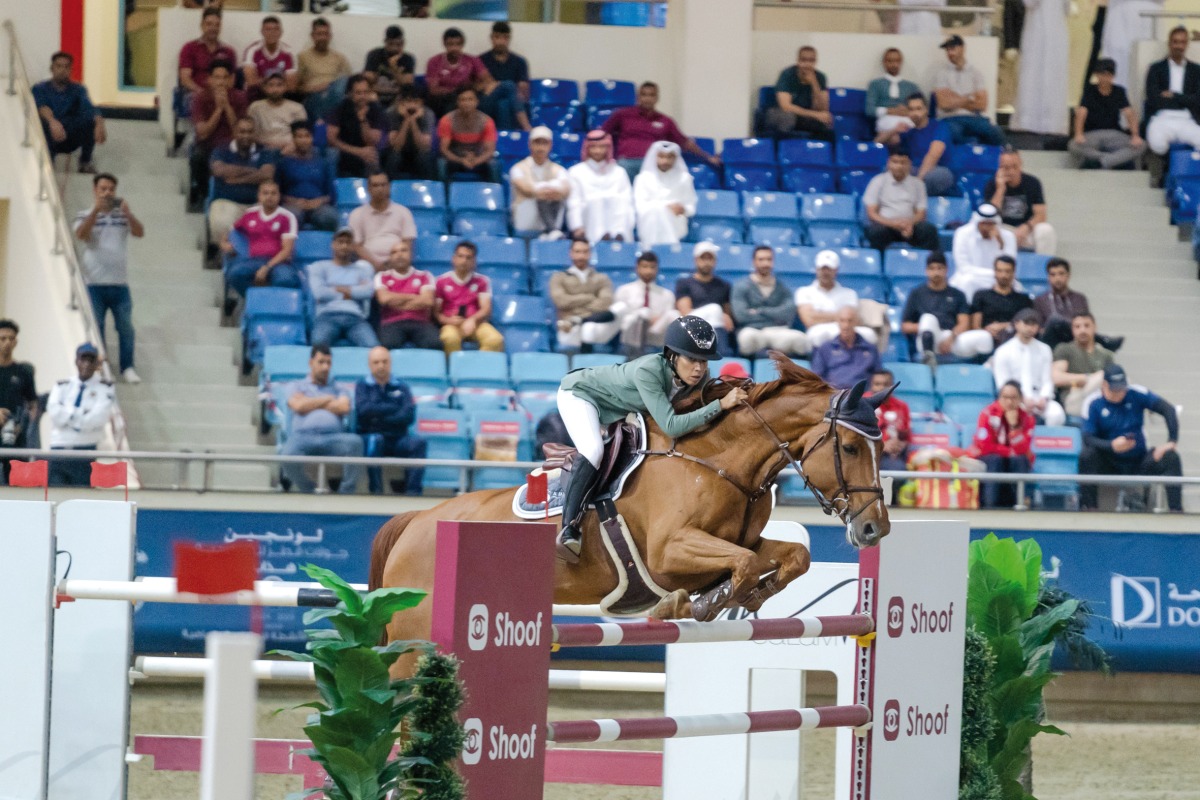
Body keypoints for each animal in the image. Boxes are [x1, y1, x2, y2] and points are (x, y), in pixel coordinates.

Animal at [372, 355, 892, 662]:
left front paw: (746, 598)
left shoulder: (741, 540)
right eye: (849, 447)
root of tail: (416, 521)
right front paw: (698, 603)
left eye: (880, 448)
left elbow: (790, 556)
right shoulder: (669, 551)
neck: (719, 459)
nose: (875, 530)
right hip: (412, 644)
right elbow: (741, 565)